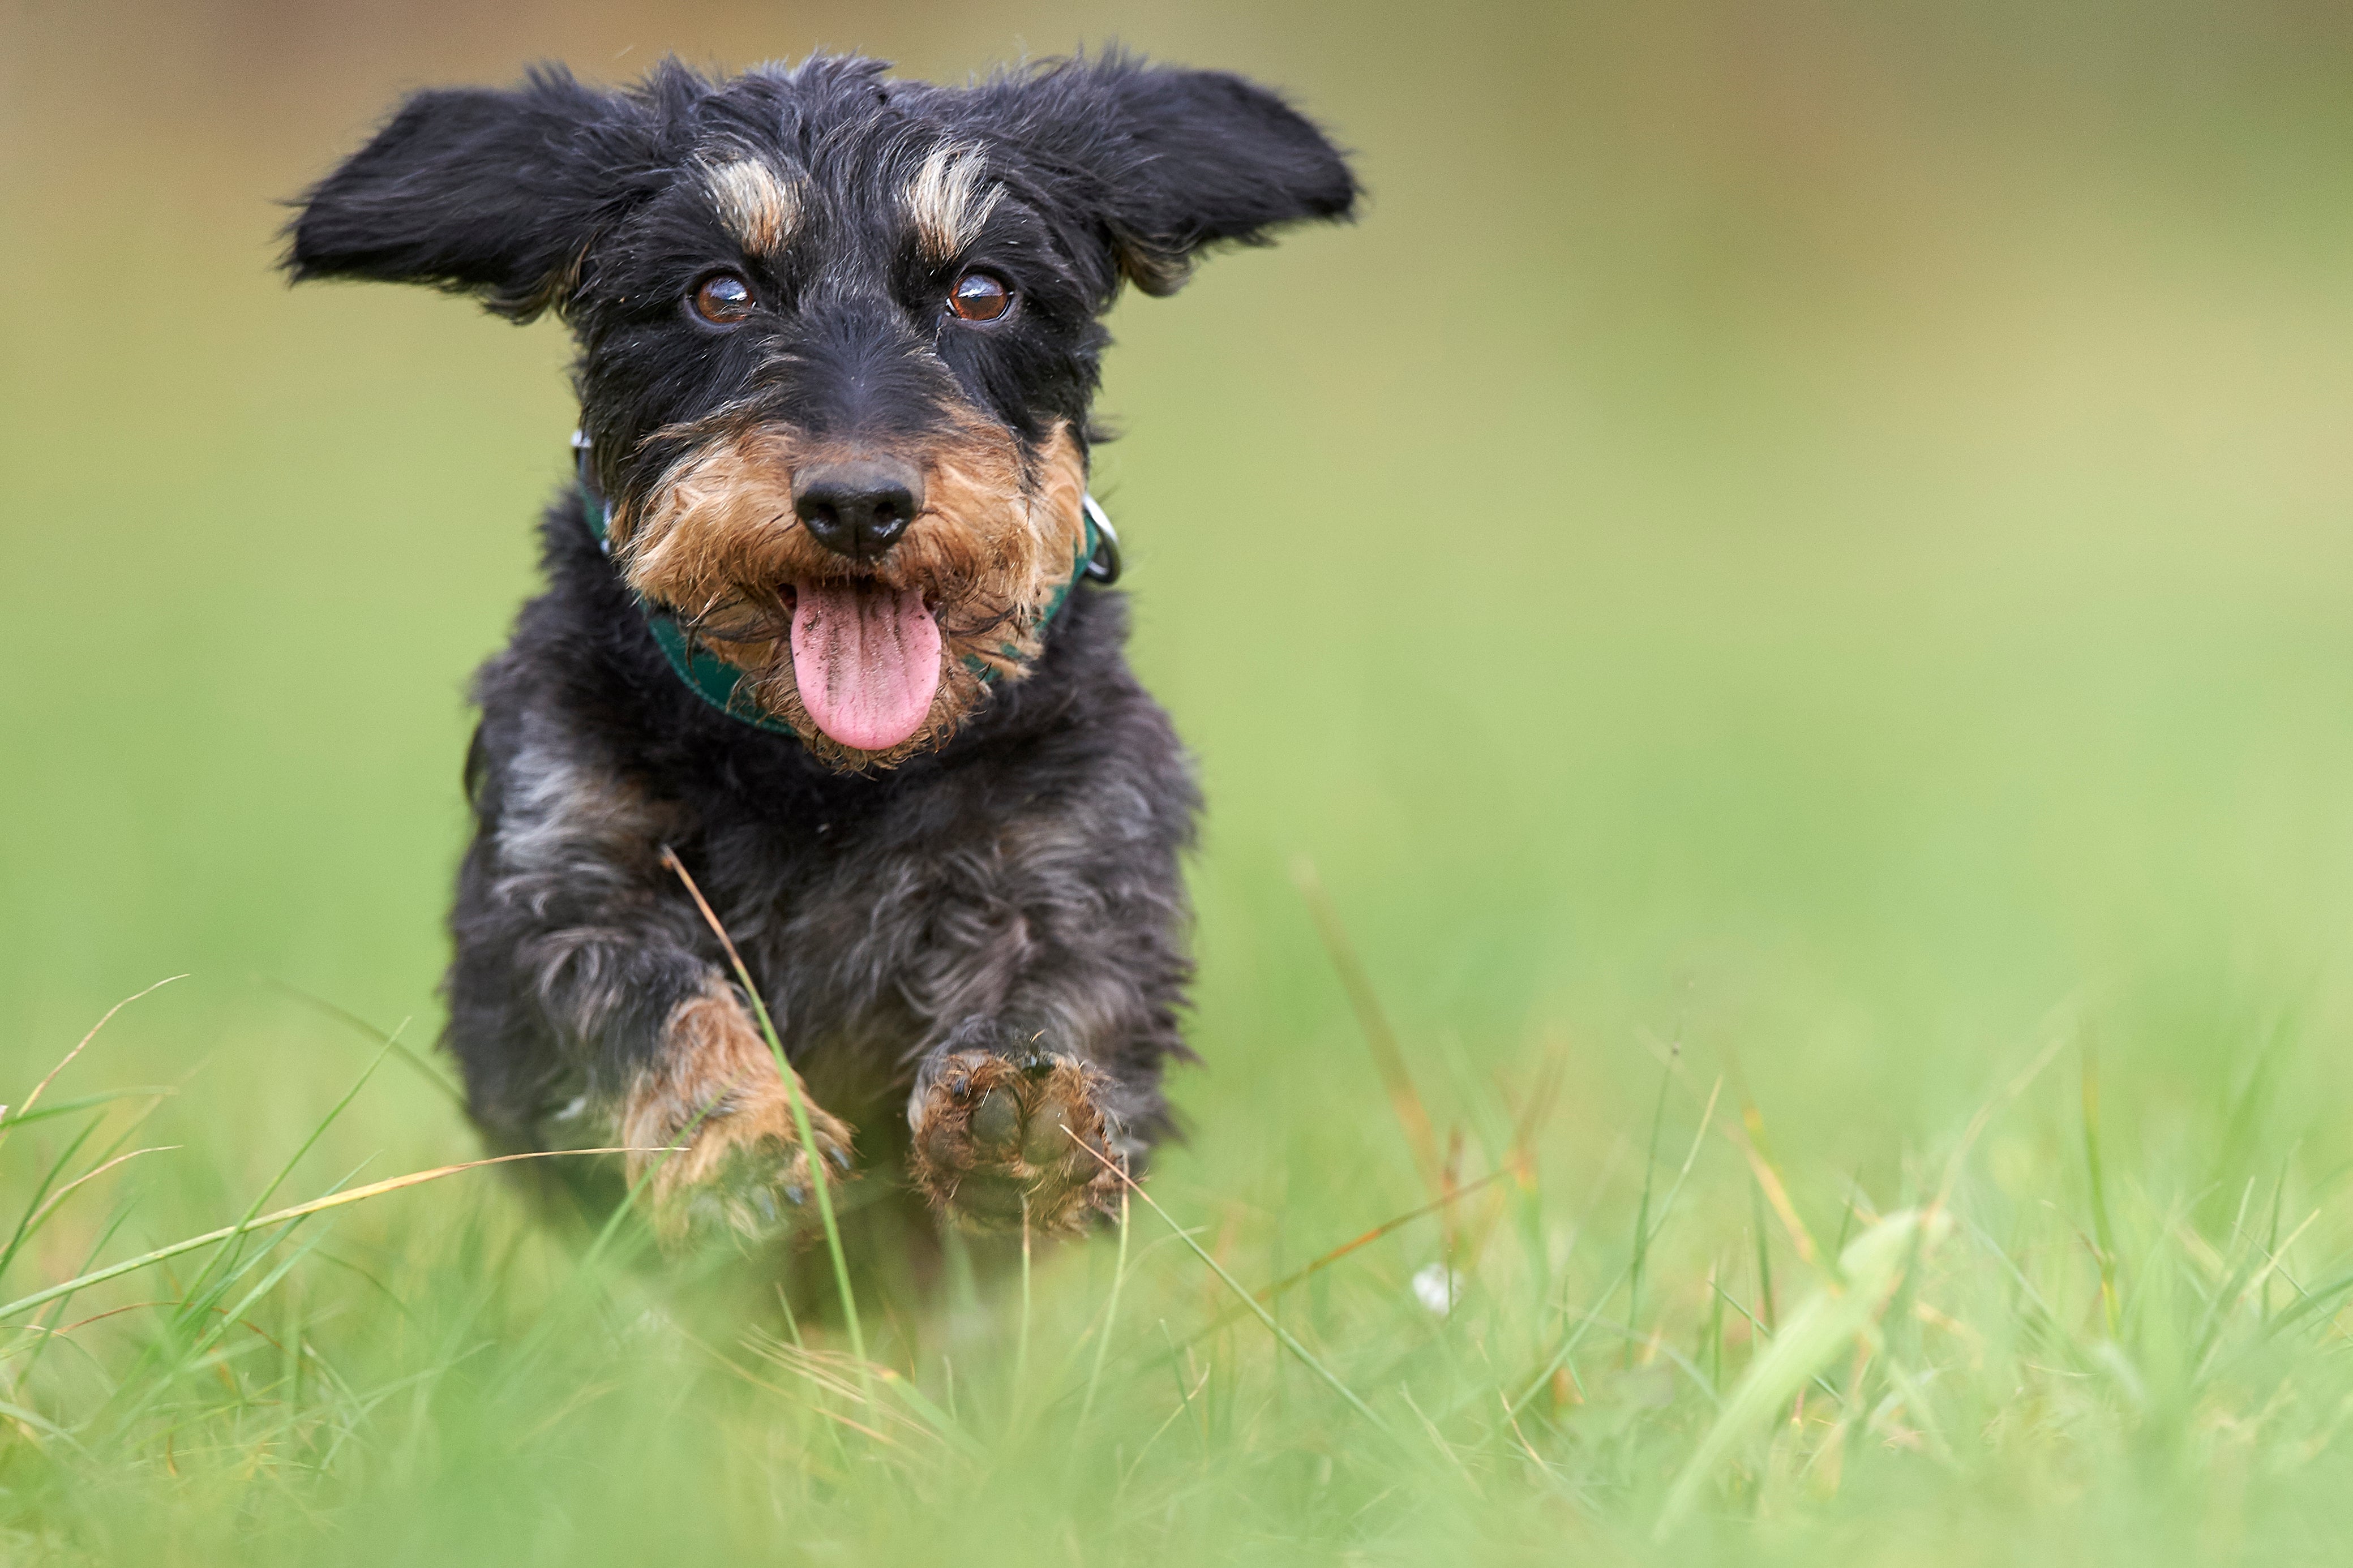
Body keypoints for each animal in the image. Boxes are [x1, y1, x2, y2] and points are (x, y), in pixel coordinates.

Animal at [289, 51, 1365, 1251]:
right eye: (720, 292)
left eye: (982, 291)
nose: (859, 502)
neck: (825, 776)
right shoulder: (552, 871)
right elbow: (642, 995)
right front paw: (741, 1139)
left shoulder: (1083, 852)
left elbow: (1065, 990)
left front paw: (1023, 1131)